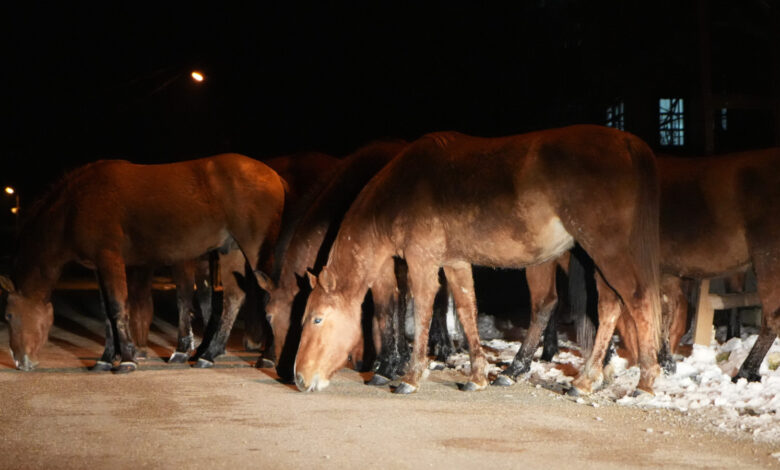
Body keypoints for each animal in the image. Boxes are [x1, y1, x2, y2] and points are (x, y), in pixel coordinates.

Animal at [0, 154, 286, 370]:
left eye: (8, 315)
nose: (20, 361)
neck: (75, 206)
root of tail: (274, 176)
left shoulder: (110, 258)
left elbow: (117, 307)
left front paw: (127, 359)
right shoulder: (98, 266)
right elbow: (106, 312)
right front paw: (106, 359)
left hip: (254, 247)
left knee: (270, 293)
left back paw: (267, 356)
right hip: (231, 249)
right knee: (234, 297)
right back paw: (208, 354)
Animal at [296, 124, 660, 392]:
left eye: (317, 319)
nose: (299, 379)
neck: (402, 190)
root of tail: (628, 144)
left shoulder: (422, 261)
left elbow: (424, 310)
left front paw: (411, 376)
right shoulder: (453, 262)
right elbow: (466, 309)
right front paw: (477, 374)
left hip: (605, 252)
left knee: (636, 299)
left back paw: (641, 380)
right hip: (588, 258)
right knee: (595, 305)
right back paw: (561, 375)